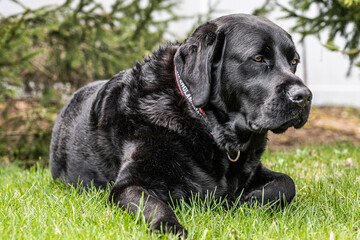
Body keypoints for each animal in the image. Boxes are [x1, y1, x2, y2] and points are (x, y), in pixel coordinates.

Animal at [50, 14, 312, 235]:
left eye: (294, 61)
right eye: (258, 58)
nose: (304, 96)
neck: (206, 125)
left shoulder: (255, 170)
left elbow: (287, 183)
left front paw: (251, 200)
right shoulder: (128, 184)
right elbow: (154, 205)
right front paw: (170, 228)